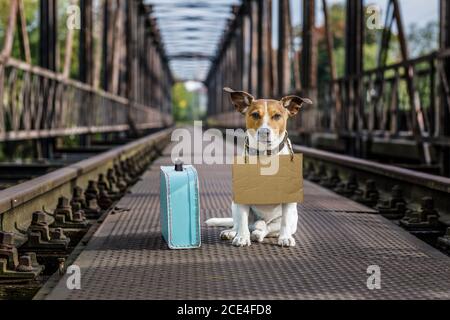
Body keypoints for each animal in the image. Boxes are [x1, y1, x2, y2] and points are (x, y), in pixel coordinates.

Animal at [205, 87, 312, 248]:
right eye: (255, 114)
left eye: (277, 116)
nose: (264, 132)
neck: (265, 156)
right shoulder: (242, 195)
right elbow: (242, 220)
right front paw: (242, 237)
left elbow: (285, 222)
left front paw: (285, 237)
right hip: (234, 205)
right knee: (240, 223)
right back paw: (232, 232)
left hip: (289, 219)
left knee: (268, 228)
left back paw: (259, 233)